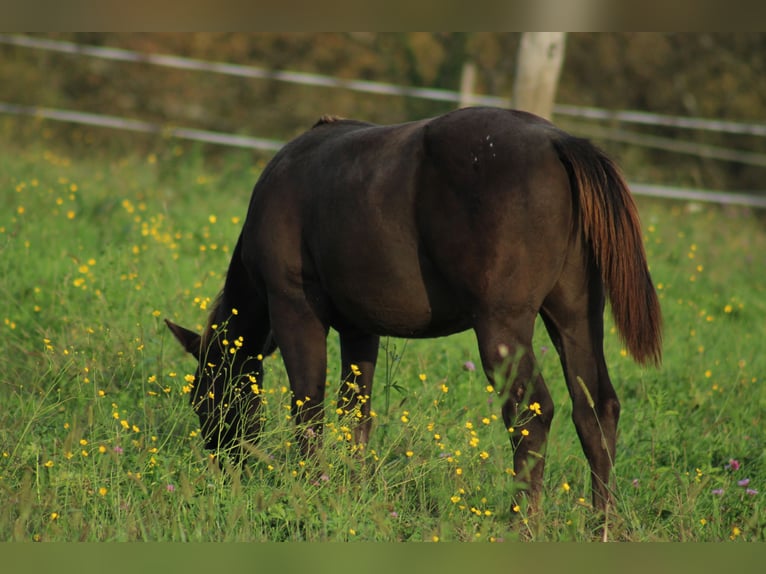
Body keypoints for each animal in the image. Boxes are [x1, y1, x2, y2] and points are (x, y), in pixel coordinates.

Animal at [168, 106, 664, 516]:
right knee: (596, 411)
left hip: (503, 327)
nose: (223, 464)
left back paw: (522, 522)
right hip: (576, 317)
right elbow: (356, 415)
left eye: (203, 399)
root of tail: (559, 142)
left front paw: (307, 489)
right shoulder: (359, 328)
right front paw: (351, 489)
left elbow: (309, 410)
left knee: (532, 416)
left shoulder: (295, 310)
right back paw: (602, 524)